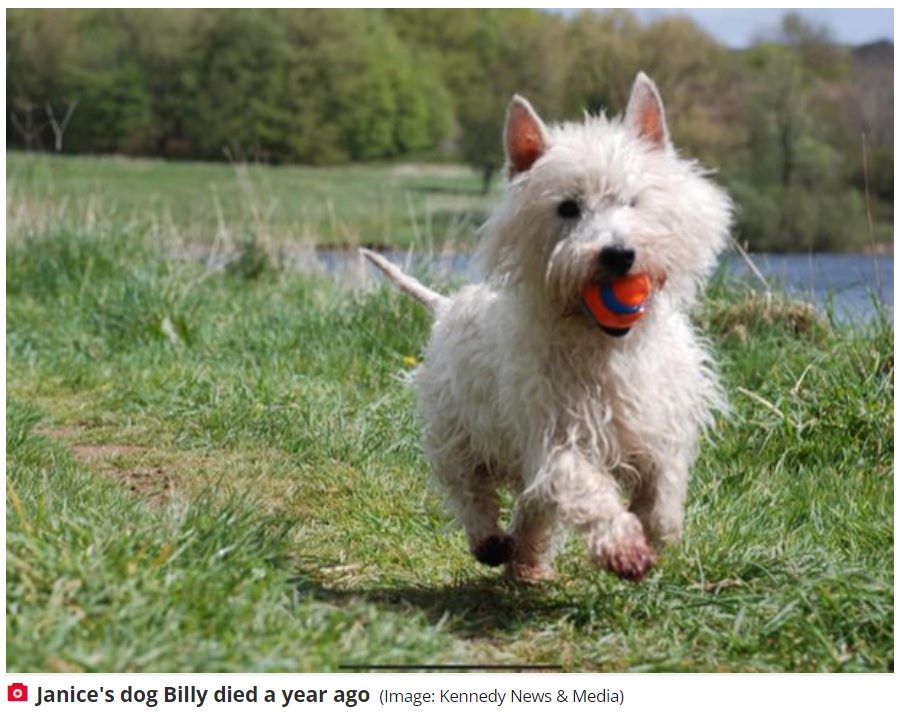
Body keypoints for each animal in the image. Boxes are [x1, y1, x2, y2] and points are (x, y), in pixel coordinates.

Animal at [362, 73, 736, 584]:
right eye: (568, 208)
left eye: (634, 201)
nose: (619, 254)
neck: (605, 347)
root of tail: (447, 306)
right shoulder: (557, 434)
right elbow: (585, 489)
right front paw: (624, 546)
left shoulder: (660, 421)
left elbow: (663, 491)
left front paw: (655, 529)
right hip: (458, 429)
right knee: (470, 489)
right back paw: (491, 542)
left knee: (532, 510)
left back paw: (528, 564)